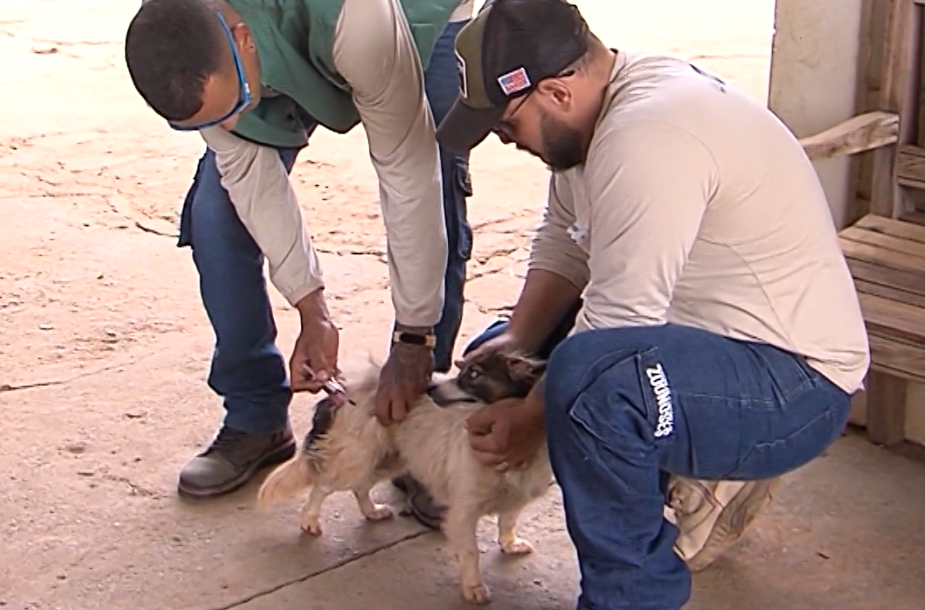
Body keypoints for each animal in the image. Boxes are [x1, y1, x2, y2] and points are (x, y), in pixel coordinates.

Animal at [256, 350, 552, 600]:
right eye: (464, 369)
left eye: (474, 374)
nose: (429, 387)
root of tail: (341, 390)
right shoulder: (464, 509)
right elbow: (471, 551)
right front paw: (473, 587)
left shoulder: (517, 496)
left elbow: (508, 521)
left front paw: (510, 543)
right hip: (357, 459)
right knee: (323, 485)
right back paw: (310, 519)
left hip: (390, 458)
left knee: (360, 487)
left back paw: (372, 511)